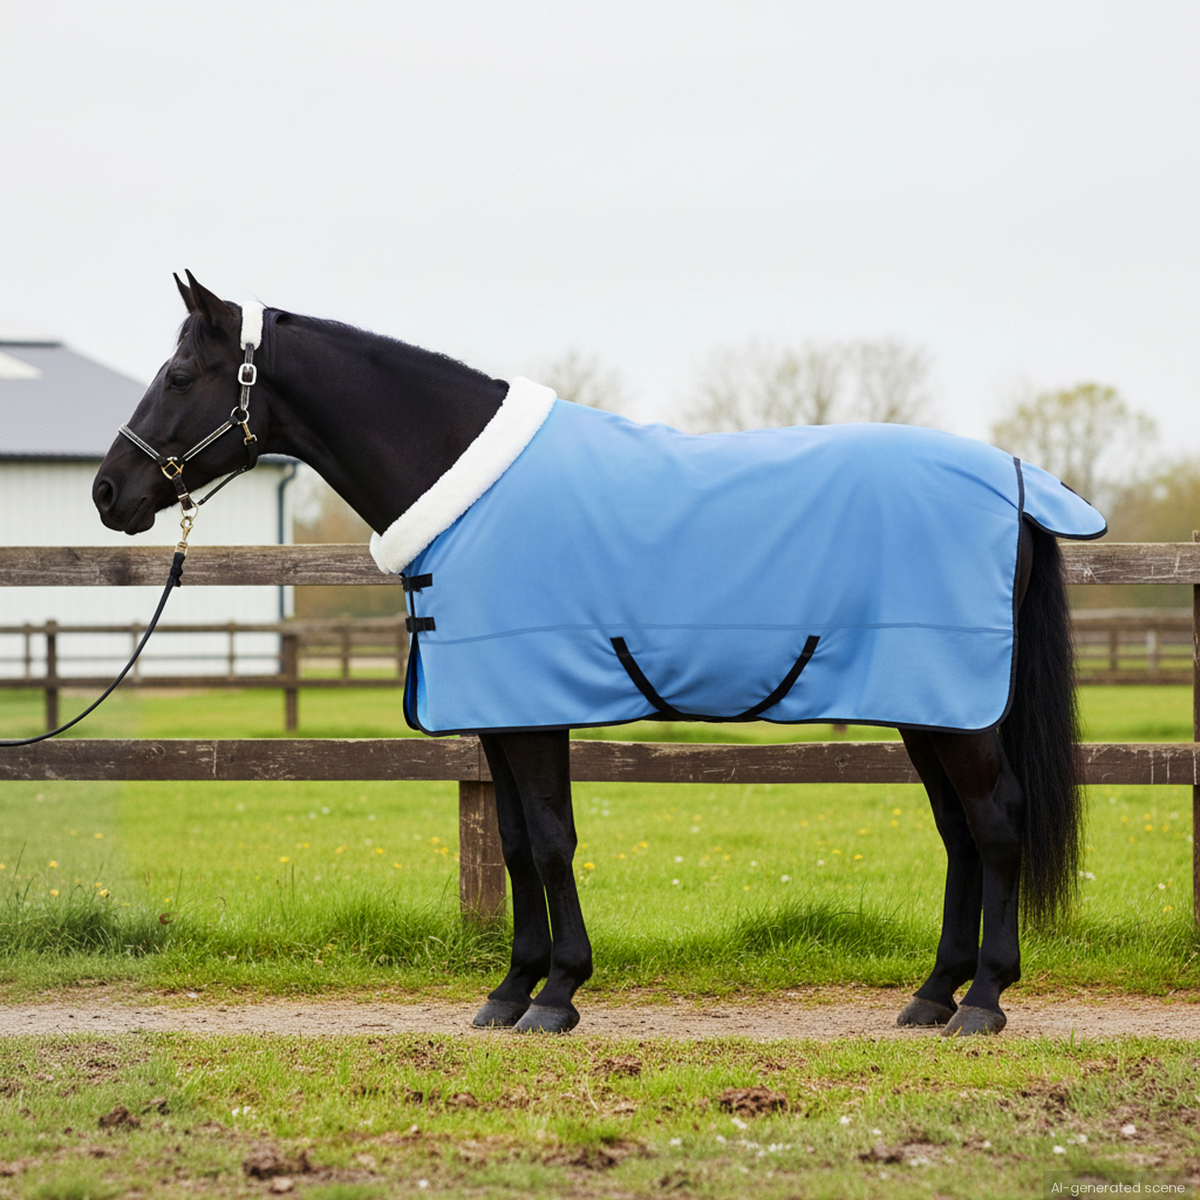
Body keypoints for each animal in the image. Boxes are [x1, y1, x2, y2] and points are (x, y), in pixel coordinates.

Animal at [94, 272, 1104, 1037]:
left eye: (180, 373)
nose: (109, 491)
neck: (465, 487)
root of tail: (1017, 482)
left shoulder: (533, 710)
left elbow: (549, 842)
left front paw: (558, 995)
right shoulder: (497, 717)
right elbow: (511, 845)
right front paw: (510, 992)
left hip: (957, 711)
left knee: (997, 824)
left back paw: (983, 1001)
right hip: (928, 707)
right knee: (960, 834)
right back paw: (932, 996)